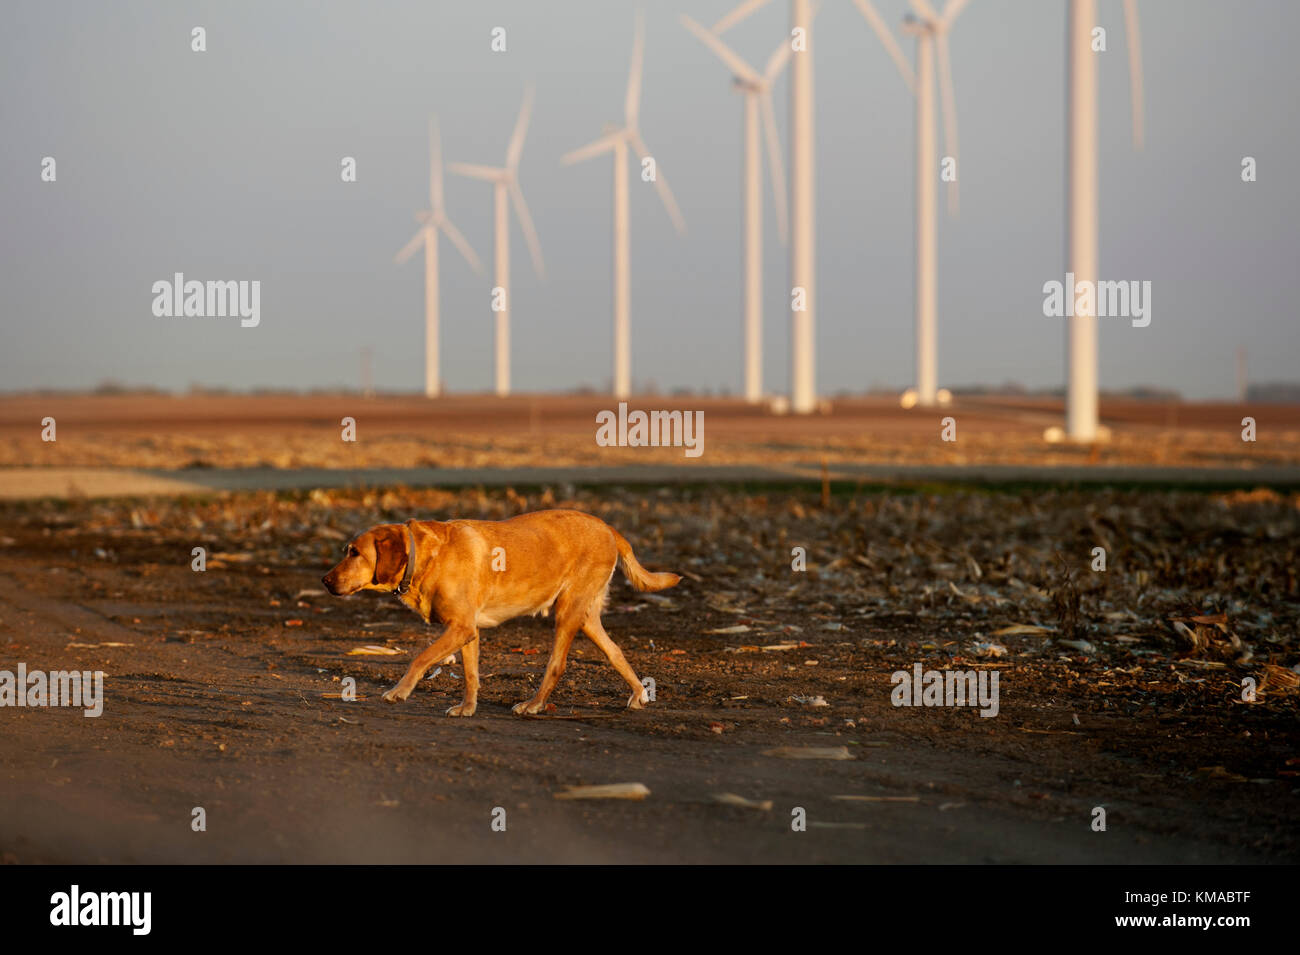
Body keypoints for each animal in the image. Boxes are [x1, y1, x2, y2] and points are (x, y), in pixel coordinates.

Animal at [322, 511, 681, 712]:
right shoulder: (467, 631)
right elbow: (470, 674)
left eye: (354, 553)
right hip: (587, 617)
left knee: (557, 664)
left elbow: (419, 658)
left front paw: (399, 691)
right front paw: (467, 708)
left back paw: (534, 705)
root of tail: (608, 527)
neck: (424, 556)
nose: (324, 580)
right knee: (616, 651)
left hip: (567, 612)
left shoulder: (461, 628)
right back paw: (639, 693)